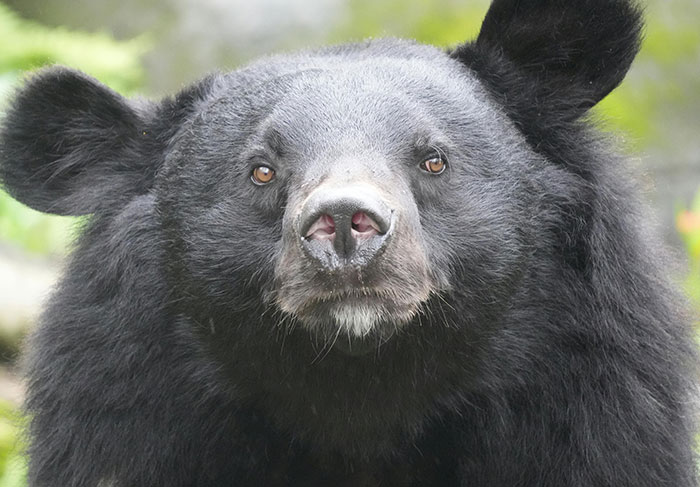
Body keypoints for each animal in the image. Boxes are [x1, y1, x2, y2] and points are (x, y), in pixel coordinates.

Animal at [0, 0, 697, 485]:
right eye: (261, 170)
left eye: (434, 159)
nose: (342, 222)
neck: (360, 393)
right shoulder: (128, 410)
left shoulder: (588, 402)